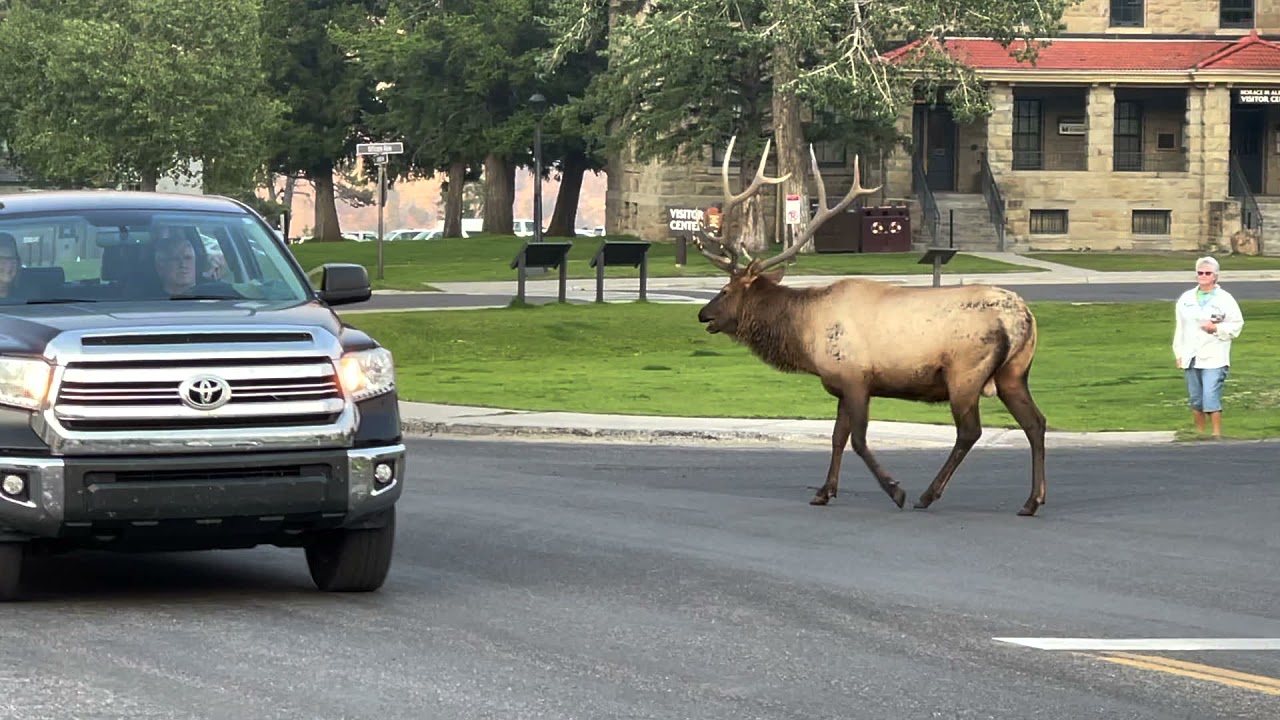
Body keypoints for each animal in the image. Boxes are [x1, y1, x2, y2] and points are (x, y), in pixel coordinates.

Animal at [693, 136, 1048, 516]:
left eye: (725, 290)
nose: (703, 314)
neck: (804, 335)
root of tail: (1024, 318)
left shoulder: (856, 378)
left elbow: (859, 440)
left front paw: (895, 490)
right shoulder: (841, 384)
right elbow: (837, 437)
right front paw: (824, 492)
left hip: (965, 372)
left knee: (970, 431)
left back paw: (927, 495)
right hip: (1014, 372)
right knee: (1035, 422)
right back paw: (1032, 500)